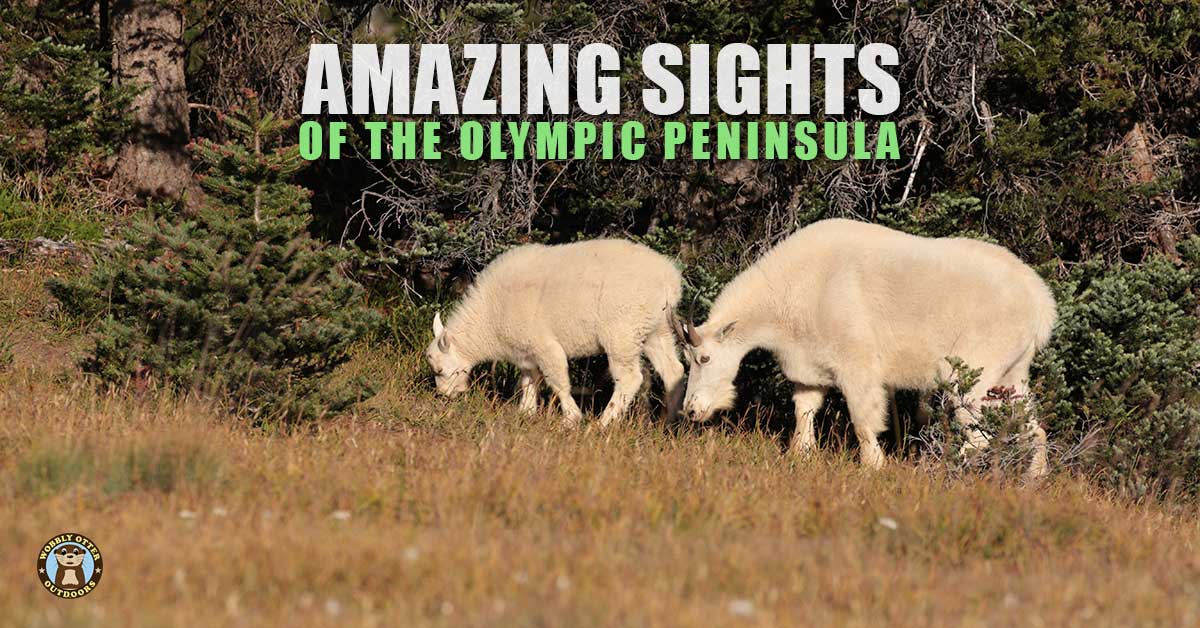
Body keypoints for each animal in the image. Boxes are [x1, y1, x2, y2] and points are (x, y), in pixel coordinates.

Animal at [424, 241, 686, 427]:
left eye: (440, 370)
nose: (445, 395)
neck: (490, 315)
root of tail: (669, 281)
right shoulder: (526, 351)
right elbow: (529, 380)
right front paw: (525, 412)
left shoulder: (544, 345)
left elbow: (558, 381)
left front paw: (571, 418)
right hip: (656, 329)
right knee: (673, 370)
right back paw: (668, 422)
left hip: (622, 330)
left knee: (630, 377)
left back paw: (604, 422)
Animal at [681, 219, 1056, 477]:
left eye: (704, 357)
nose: (691, 411)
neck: (792, 289)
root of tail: (1040, 303)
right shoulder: (809, 367)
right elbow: (804, 411)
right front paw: (799, 455)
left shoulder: (856, 365)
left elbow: (863, 421)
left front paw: (873, 467)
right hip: (1012, 372)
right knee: (1033, 426)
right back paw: (1035, 479)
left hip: (973, 371)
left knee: (979, 434)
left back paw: (940, 469)